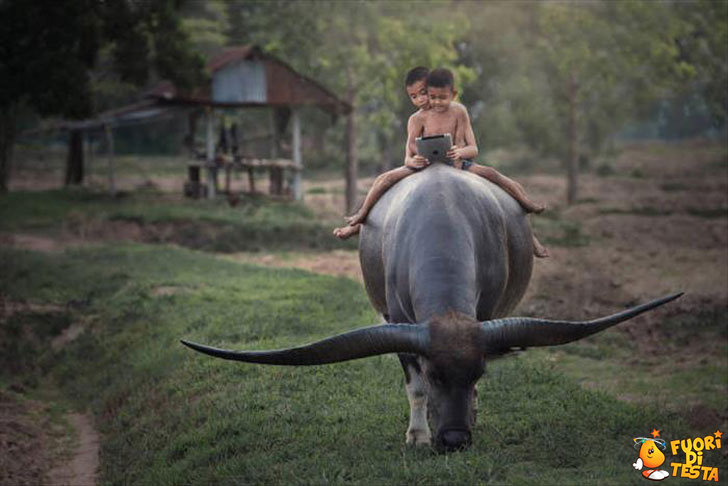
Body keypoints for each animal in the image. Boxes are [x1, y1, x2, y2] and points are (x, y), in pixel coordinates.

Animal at [182, 163, 684, 452]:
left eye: (478, 373)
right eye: (435, 373)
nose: (456, 440)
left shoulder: (484, 317)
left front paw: (472, 412)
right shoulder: (399, 324)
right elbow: (414, 388)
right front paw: (418, 435)